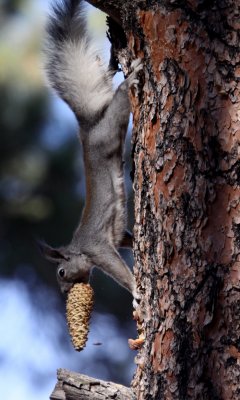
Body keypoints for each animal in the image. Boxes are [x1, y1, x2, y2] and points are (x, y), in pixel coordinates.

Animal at [38, 0, 142, 294]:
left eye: (61, 272)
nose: (64, 292)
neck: (79, 248)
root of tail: (88, 127)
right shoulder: (116, 238)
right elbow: (126, 239)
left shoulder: (97, 249)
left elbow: (117, 270)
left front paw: (136, 291)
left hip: (106, 133)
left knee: (119, 103)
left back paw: (128, 82)